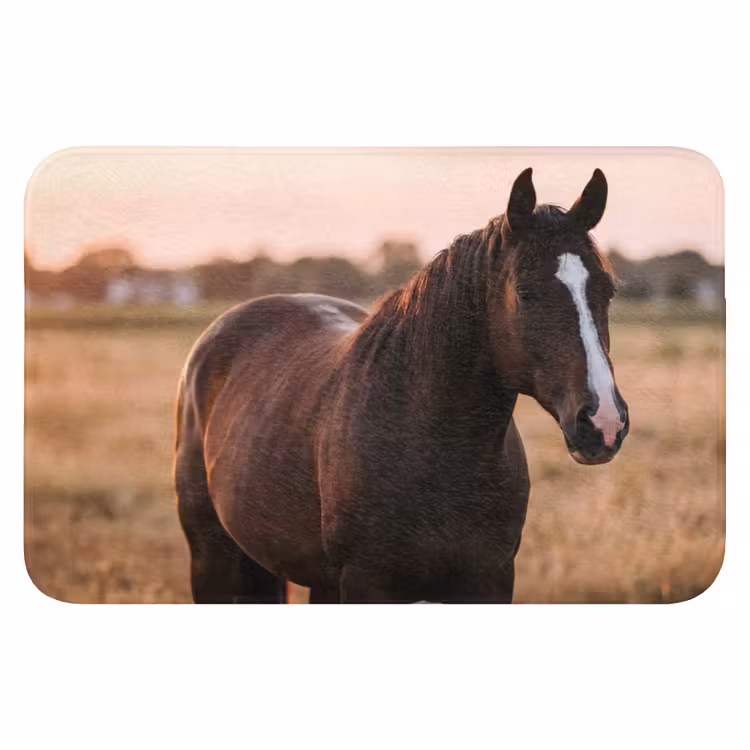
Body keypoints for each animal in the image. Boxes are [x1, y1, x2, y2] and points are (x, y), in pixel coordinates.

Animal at [174, 167, 629, 603]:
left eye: (608, 290)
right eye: (525, 292)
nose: (604, 422)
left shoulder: (490, 581)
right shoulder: (366, 584)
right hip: (214, 559)